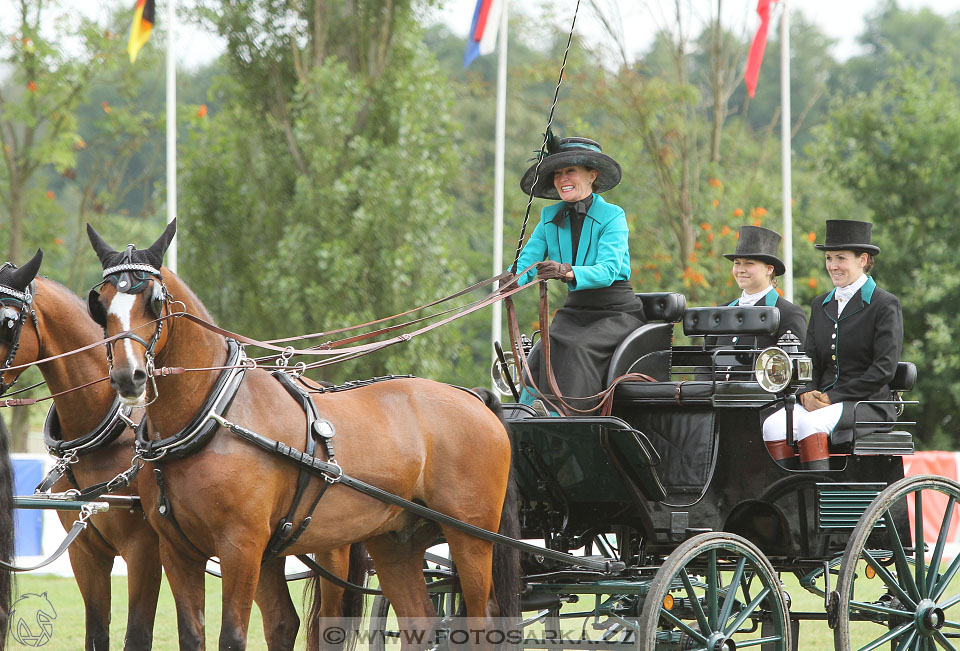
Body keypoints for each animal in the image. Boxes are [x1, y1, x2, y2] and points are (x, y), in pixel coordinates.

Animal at [0, 253, 308, 651]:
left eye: (6, 323)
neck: (108, 427)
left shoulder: (145, 549)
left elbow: (137, 633)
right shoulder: (84, 553)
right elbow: (97, 633)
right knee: (283, 619)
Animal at [89, 222, 520, 648]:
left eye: (153, 300)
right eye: (102, 304)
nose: (129, 377)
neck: (211, 416)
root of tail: (474, 397)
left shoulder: (242, 546)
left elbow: (232, 635)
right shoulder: (178, 550)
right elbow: (195, 635)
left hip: (470, 536)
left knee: (482, 621)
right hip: (396, 539)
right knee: (420, 622)